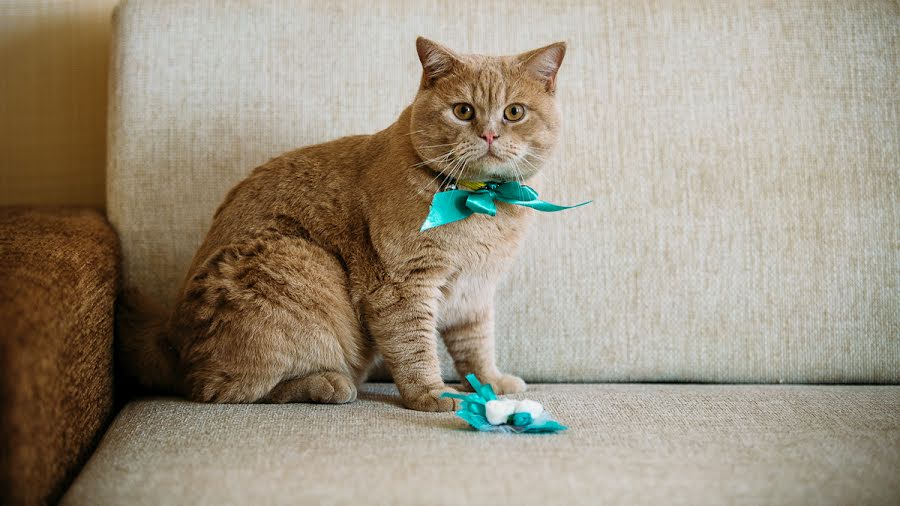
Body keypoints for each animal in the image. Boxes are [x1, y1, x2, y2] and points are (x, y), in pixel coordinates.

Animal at [118, 38, 568, 412]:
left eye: (514, 112)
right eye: (463, 111)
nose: (490, 134)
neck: (483, 201)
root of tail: (169, 337)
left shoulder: (473, 296)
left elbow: (475, 347)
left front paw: (489, 382)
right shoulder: (402, 287)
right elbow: (415, 348)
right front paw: (433, 394)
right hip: (300, 259)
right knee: (222, 388)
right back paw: (326, 384)